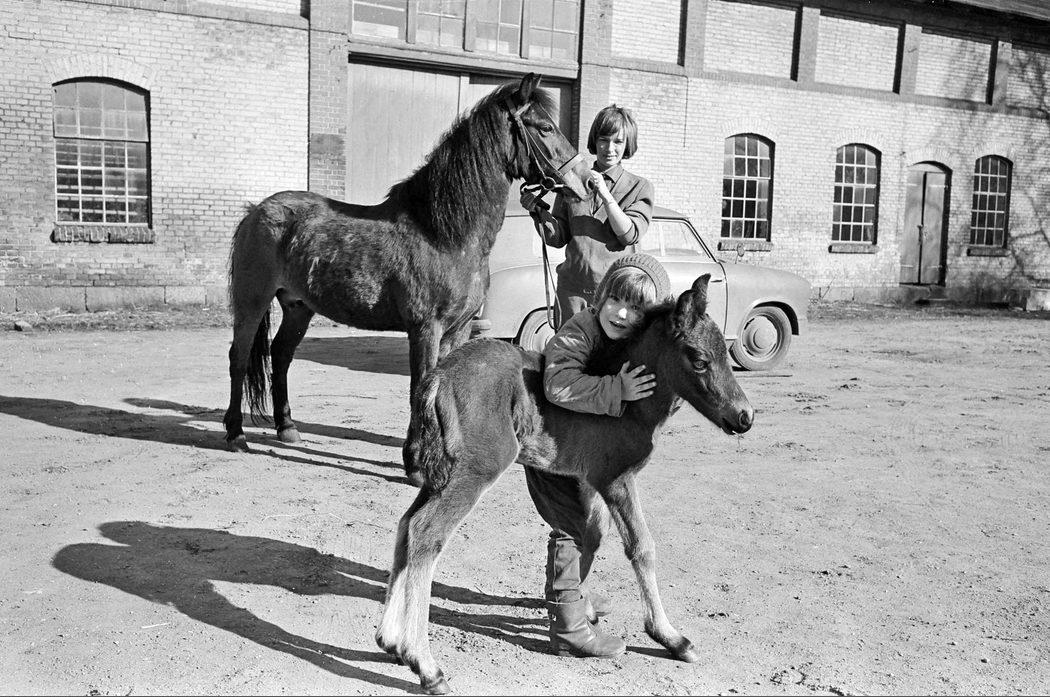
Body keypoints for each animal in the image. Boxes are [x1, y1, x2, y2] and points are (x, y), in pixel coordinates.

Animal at [222, 73, 592, 466]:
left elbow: (443, 384)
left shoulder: (459, 329)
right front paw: (414, 460)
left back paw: (287, 428)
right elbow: (421, 386)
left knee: (281, 355)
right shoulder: (425, 328)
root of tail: (256, 211)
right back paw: (235, 434)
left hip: (298, 307)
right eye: (546, 127)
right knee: (239, 358)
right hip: (252, 302)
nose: (586, 181)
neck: (443, 234)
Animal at [376, 273, 755, 694]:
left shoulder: (589, 481)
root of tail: (438, 376)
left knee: (407, 526)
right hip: (474, 471)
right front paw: (670, 637)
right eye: (699, 359)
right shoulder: (616, 478)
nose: (744, 417)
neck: (631, 406)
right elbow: (641, 547)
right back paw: (425, 664)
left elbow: (588, 537)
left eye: (726, 355)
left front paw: (582, 611)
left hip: (444, 474)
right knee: (427, 533)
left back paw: (390, 640)